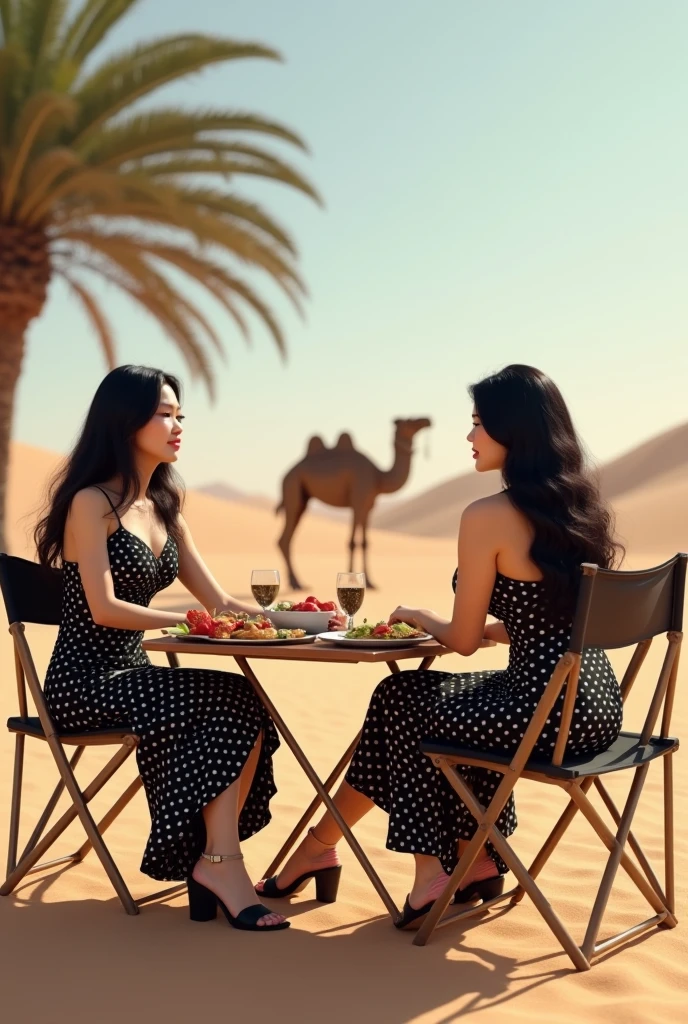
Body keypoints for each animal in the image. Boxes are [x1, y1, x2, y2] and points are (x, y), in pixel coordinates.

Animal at [274, 417, 430, 593]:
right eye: (410, 420)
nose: (428, 420)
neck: (379, 477)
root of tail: (286, 475)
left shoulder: (368, 506)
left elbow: (365, 542)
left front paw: (370, 582)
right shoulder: (358, 501)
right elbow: (352, 542)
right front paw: (351, 579)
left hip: (301, 498)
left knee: (286, 539)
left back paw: (295, 582)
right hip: (292, 486)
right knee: (285, 536)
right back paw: (297, 583)